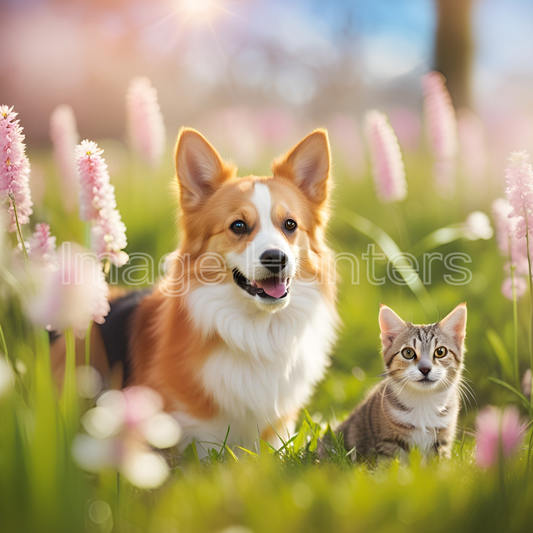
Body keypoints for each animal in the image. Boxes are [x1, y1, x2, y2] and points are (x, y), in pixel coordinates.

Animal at [324, 304, 466, 462]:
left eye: (440, 352)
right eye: (408, 353)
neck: (423, 401)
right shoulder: (388, 443)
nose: (425, 369)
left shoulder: (442, 441)